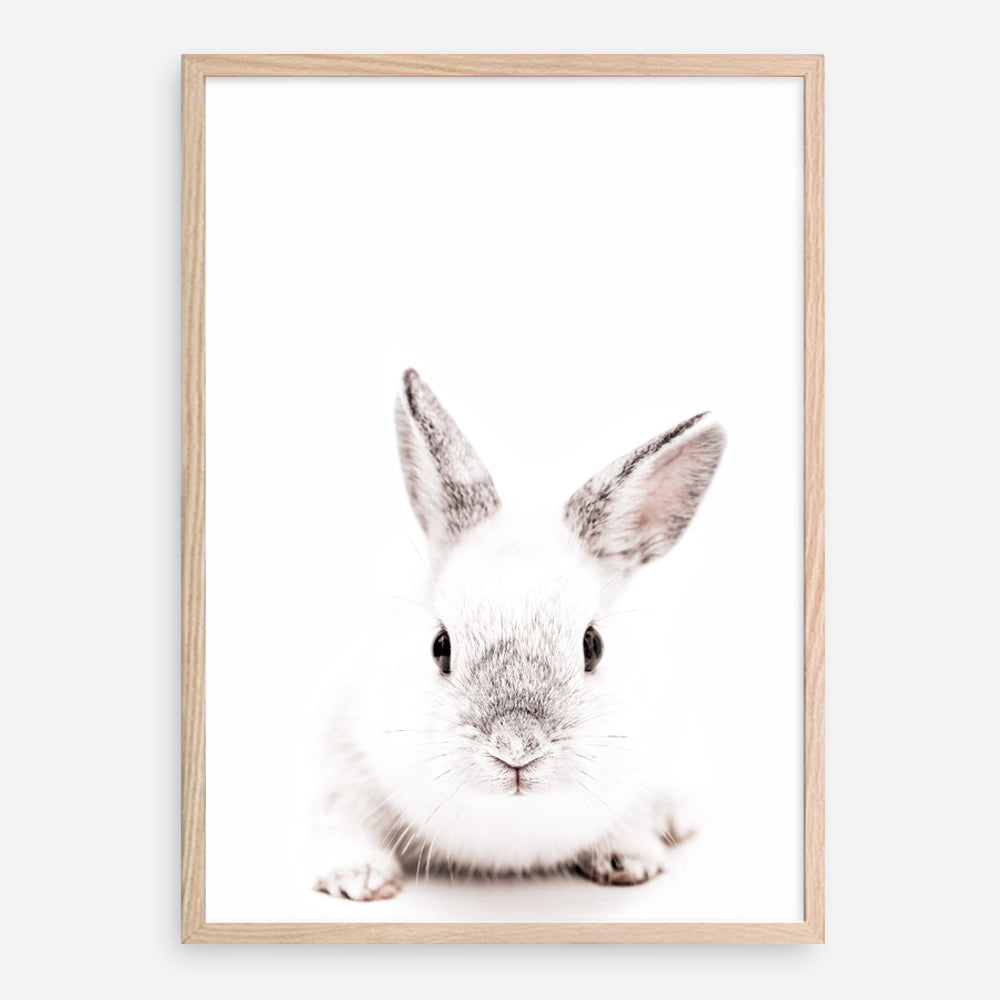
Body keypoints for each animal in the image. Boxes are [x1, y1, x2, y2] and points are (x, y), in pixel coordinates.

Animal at [306, 368, 725, 901]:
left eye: (593, 646)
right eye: (440, 646)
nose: (517, 749)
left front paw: (628, 860)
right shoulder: (340, 763)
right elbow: (342, 818)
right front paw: (359, 879)